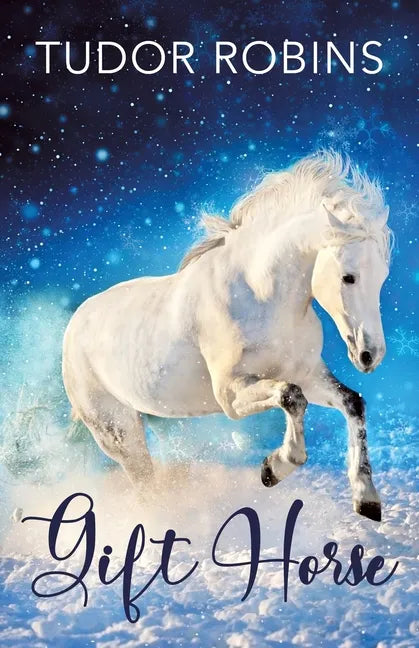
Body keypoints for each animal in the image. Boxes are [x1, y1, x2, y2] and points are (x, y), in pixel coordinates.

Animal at [62, 151, 392, 522]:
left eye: (382, 277)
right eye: (349, 277)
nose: (370, 355)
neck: (260, 297)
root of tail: (74, 324)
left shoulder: (306, 373)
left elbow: (352, 402)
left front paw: (367, 498)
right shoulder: (230, 394)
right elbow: (291, 397)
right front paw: (274, 468)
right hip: (116, 430)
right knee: (145, 485)